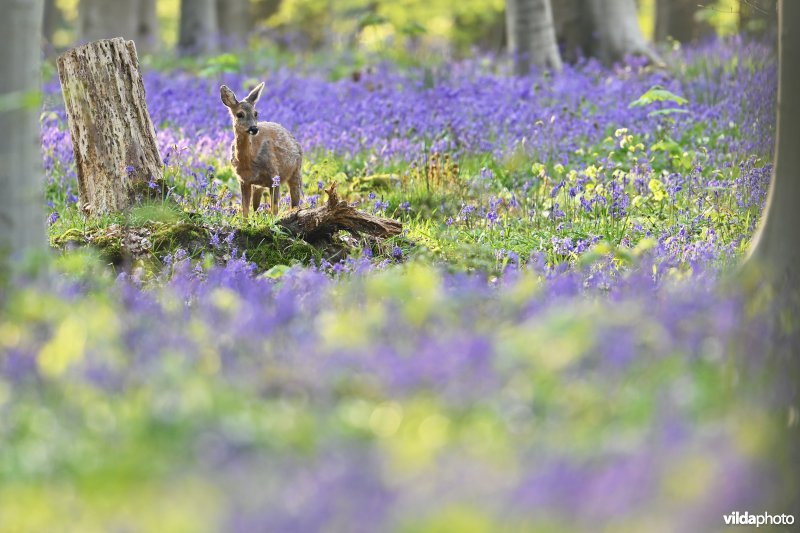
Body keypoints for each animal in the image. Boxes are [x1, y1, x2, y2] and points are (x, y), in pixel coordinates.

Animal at [219, 82, 304, 217]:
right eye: (239, 114)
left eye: (256, 113)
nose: (254, 128)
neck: (248, 162)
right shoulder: (244, 180)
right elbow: (245, 211)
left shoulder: (274, 175)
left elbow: (274, 209)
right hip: (258, 185)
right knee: (255, 206)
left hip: (296, 171)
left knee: (295, 202)